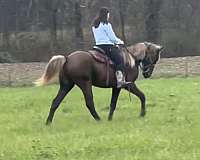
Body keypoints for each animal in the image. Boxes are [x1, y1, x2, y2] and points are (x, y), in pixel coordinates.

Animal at [34, 42, 162, 124]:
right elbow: (142, 96)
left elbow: (113, 103)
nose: (147, 74)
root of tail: (67, 58)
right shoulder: (128, 85)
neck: (131, 59)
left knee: (56, 101)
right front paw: (142, 114)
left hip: (66, 85)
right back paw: (99, 119)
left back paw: (48, 122)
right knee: (89, 102)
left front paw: (110, 119)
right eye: (155, 57)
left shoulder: (116, 87)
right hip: (85, 84)